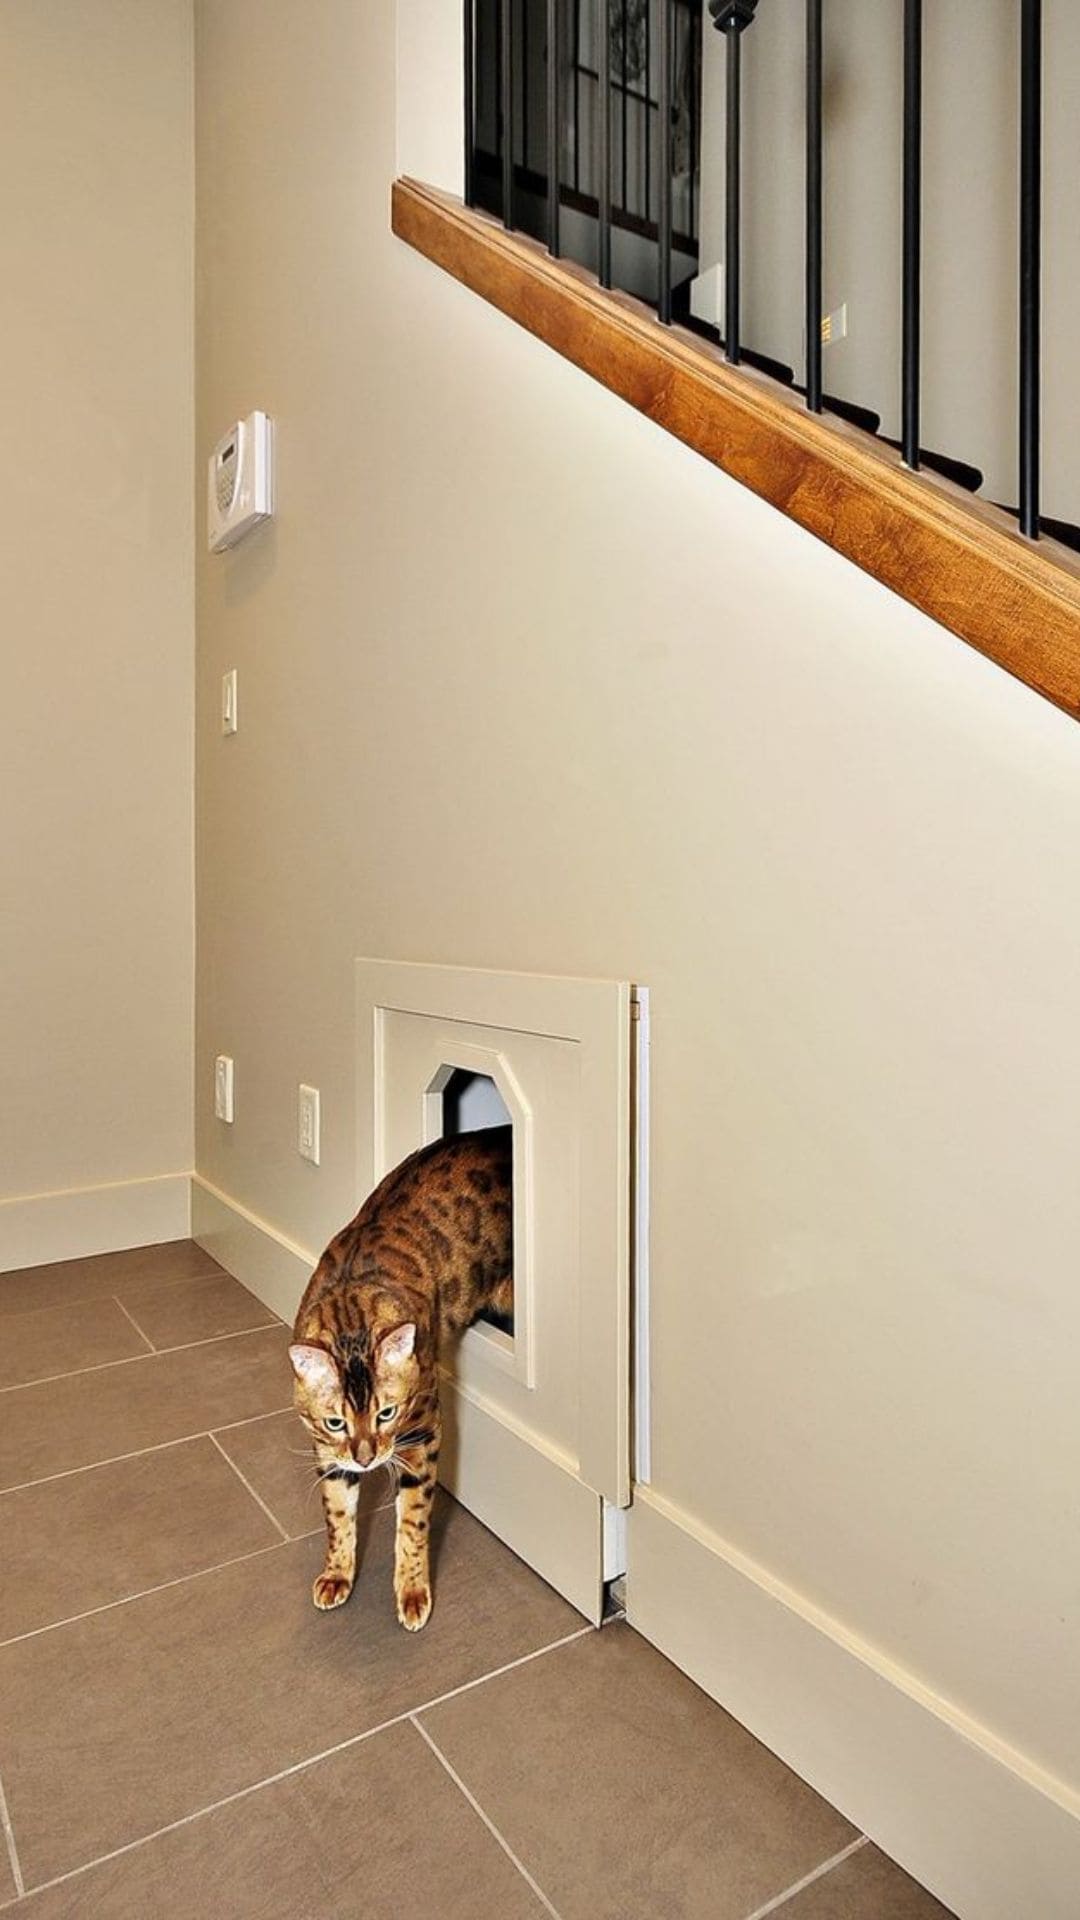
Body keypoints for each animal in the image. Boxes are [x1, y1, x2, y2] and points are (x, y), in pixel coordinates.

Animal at [288, 1121, 511, 1635]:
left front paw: (411, 1593)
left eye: (387, 1413)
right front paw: (337, 1574)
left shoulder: (422, 1432)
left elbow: (412, 1522)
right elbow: (337, 1515)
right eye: (336, 1422)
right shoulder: (327, 1451)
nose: (367, 1459)